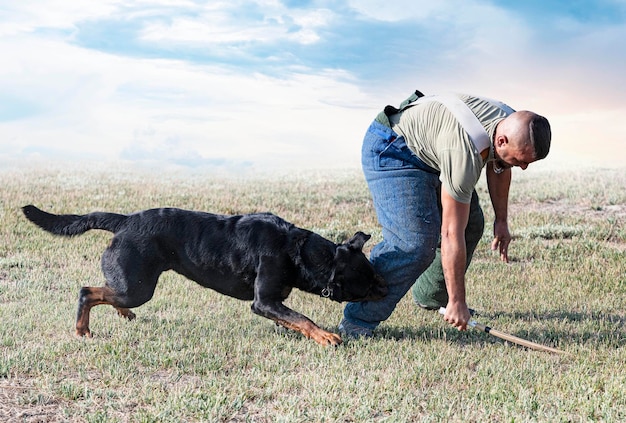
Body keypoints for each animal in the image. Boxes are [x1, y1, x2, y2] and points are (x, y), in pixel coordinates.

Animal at [22, 206, 382, 348]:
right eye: (368, 283)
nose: (387, 286)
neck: (300, 251)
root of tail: (124, 220)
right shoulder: (264, 300)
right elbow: (304, 318)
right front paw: (326, 337)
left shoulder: (273, 301)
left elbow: (291, 318)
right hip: (140, 286)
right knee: (88, 291)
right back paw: (83, 330)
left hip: (132, 283)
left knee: (108, 291)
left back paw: (122, 314)